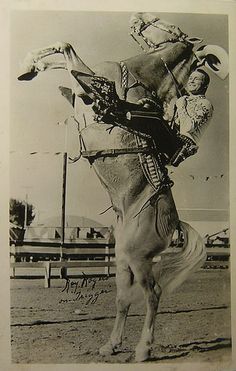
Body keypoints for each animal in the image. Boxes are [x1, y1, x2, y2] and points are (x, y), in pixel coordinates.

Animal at [18, 12, 227, 364]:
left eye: (166, 25)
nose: (138, 17)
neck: (139, 81)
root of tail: (174, 224)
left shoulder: (86, 85)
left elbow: (68, 52)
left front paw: (32, 64)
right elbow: (63, 53)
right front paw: (30, 65)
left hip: (139, 259)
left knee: (153, 294)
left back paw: (143, 349)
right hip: (122, 259)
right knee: (125, 298)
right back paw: (111, 345)